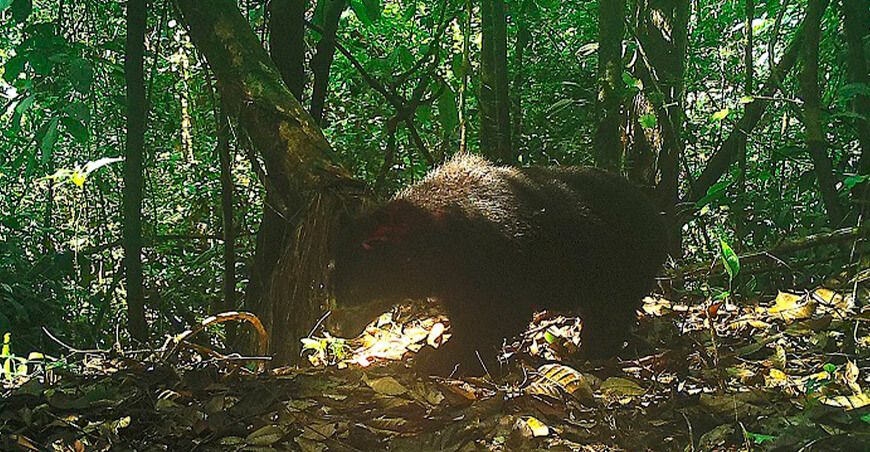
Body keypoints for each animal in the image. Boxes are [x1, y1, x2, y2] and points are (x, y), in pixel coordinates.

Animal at [330, 154, 668, 376]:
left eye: (353, 287)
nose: (334, 326)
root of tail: (656, 213)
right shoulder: (455, 280)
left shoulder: (497, 261)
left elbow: (500, 316)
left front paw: (446, 358)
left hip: (622, 261)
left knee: (609, 310)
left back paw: (596, 350)